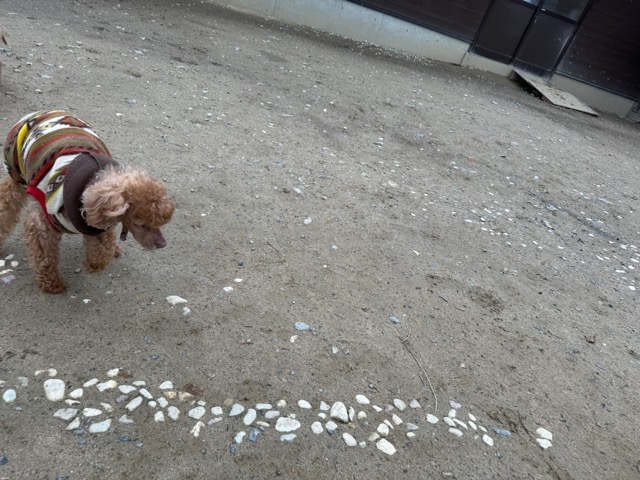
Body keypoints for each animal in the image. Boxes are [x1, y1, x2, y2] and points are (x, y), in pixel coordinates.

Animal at [0, 110, 175, 293]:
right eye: (141, 224)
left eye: (160, 224)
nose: (162, 244)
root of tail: (42, 112)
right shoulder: (42, 224)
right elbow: (45, 257)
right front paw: (51, 282)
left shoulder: (99, 225)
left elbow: (104, 249)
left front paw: (93, 263)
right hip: (16, 175)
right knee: (5, 206)